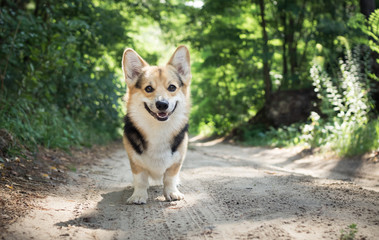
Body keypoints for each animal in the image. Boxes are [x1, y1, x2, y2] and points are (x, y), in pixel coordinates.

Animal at [122, 45, 193, 204]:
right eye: (148, 88)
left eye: (172, 87)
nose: (162, 104)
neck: (158, 128)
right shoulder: (135, 161)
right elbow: (141, 179)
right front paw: (138, 195)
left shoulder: (177, 161)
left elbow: (170, 178)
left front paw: (172, 193)